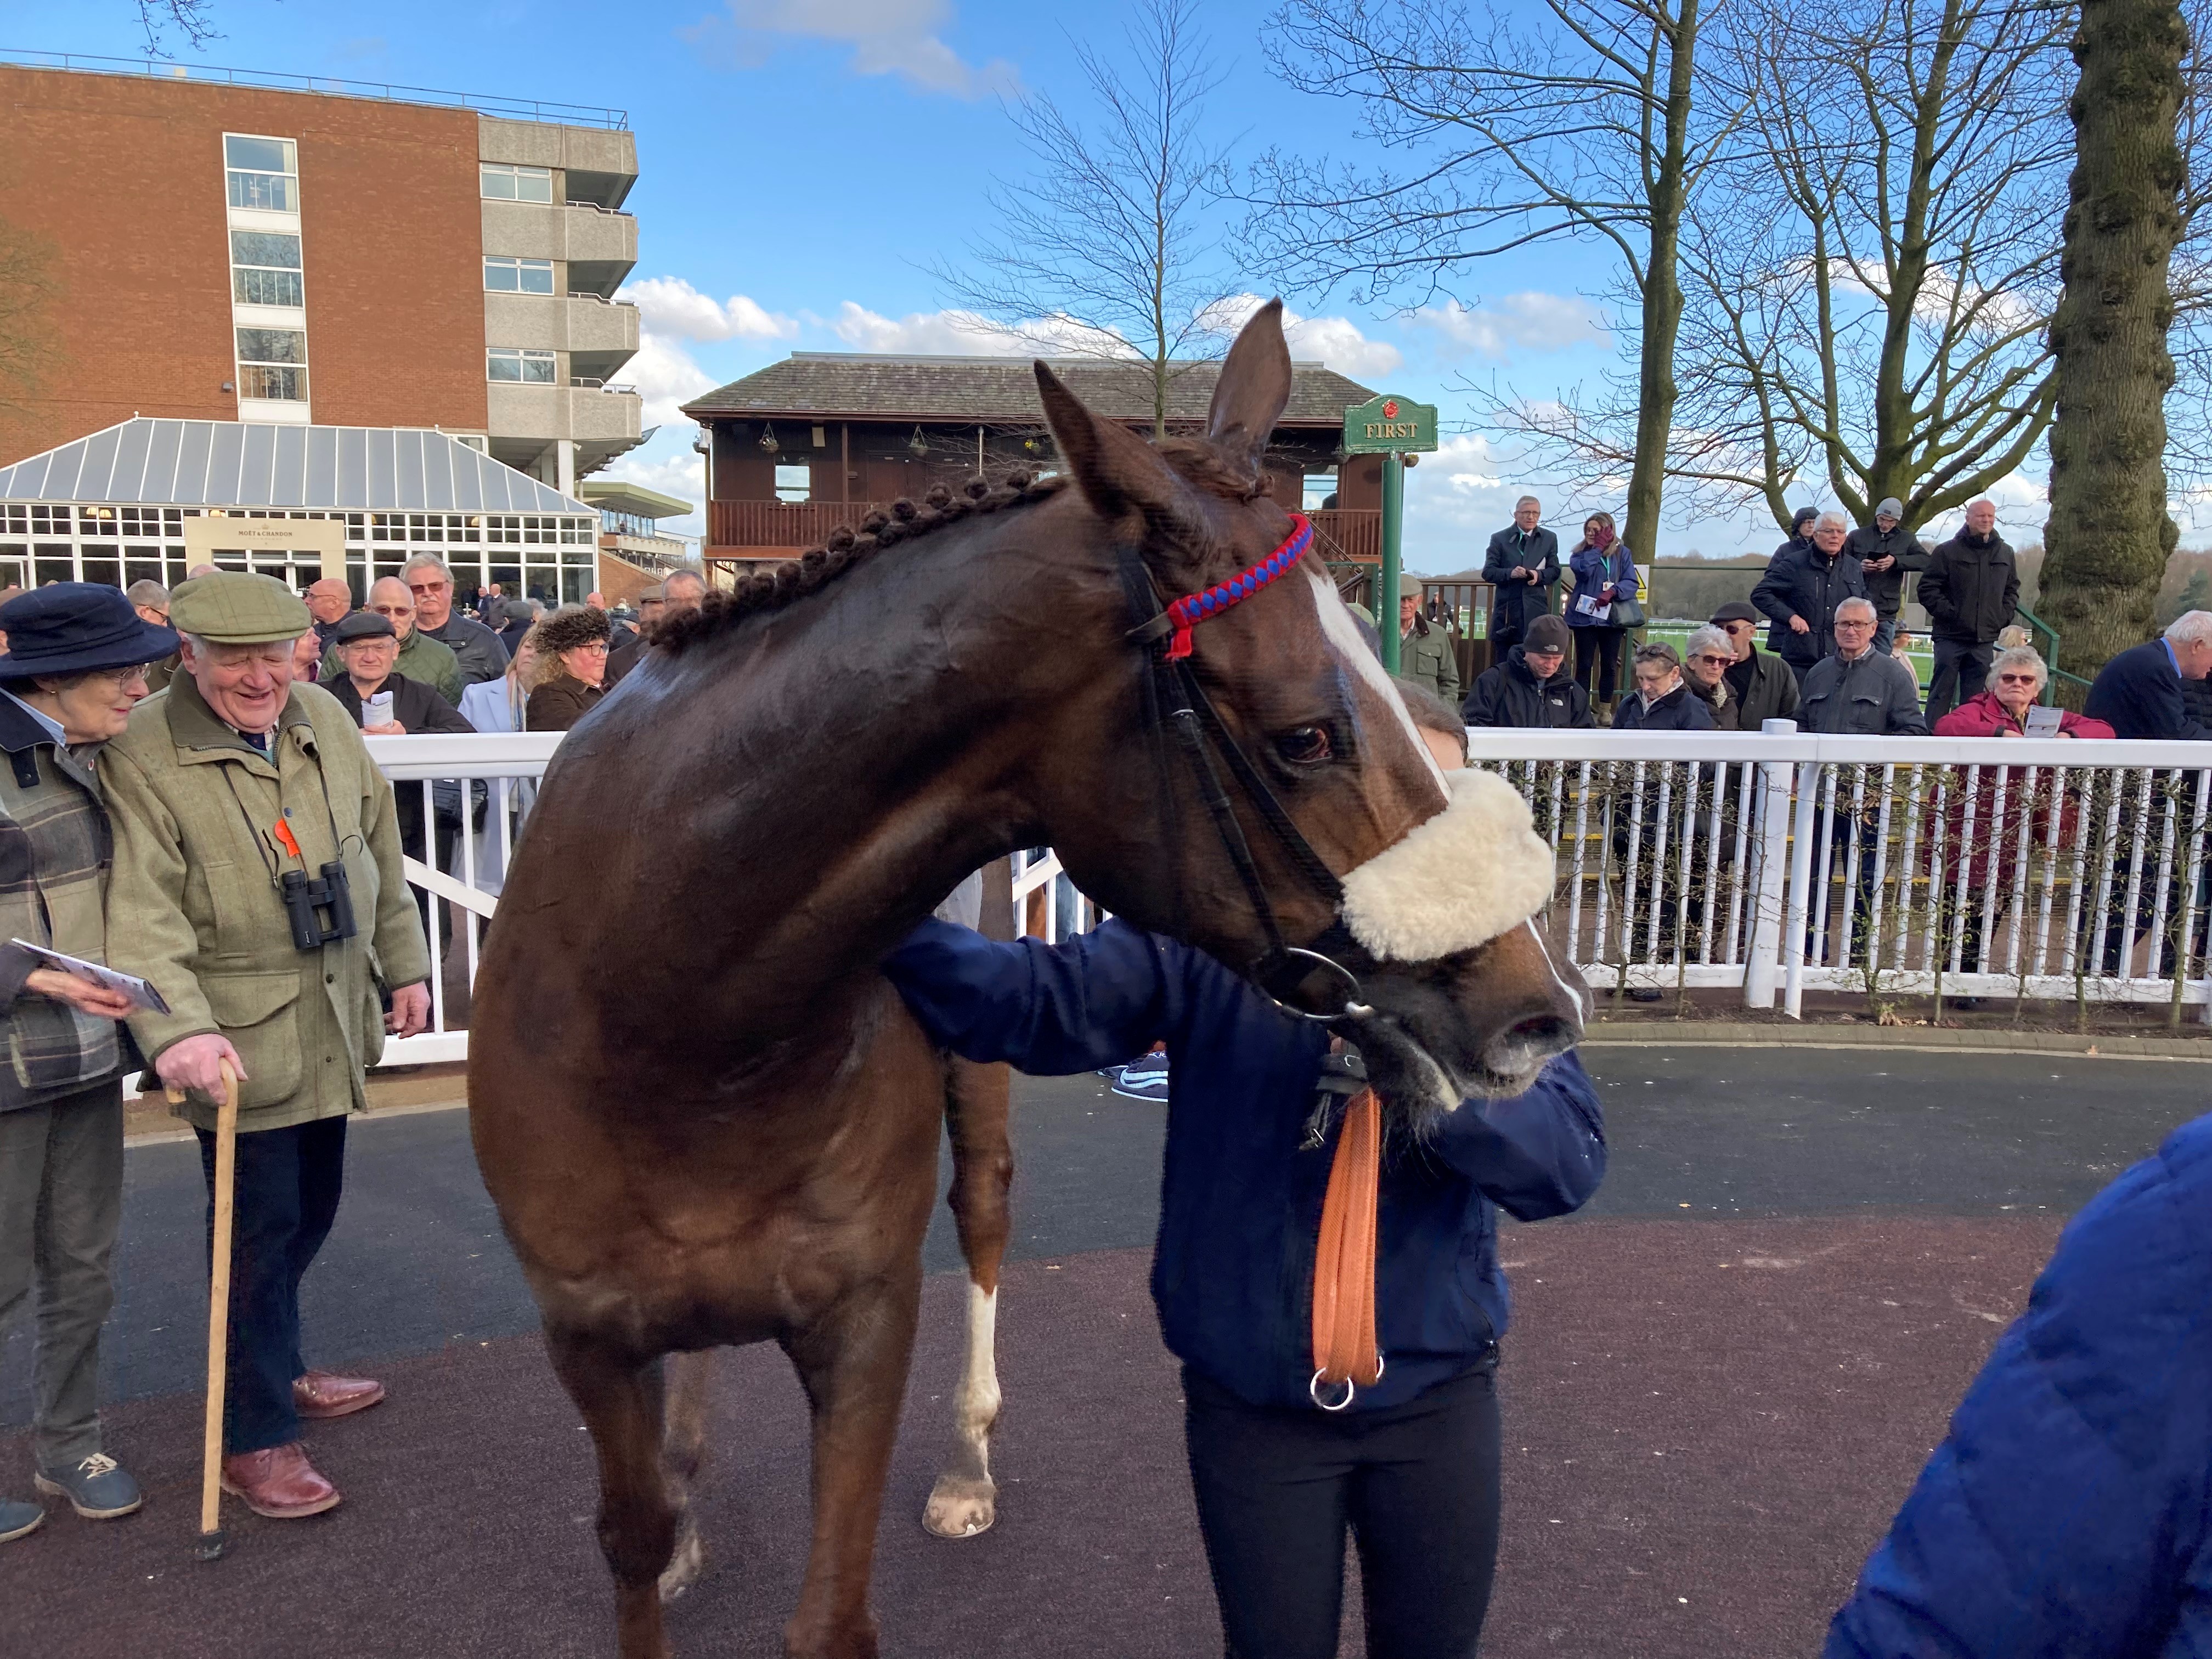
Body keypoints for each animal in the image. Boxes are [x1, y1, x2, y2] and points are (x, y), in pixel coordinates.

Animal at [466, 303, 1583, 1659]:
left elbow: (831, 1614)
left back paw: (966, 1461)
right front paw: (665, 1527)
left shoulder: (865, 1311)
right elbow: (628, 1542)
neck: (679, 1023)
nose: (1534, 1012)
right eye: (1305, 736)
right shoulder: (582, 1333)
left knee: (987, 1209)